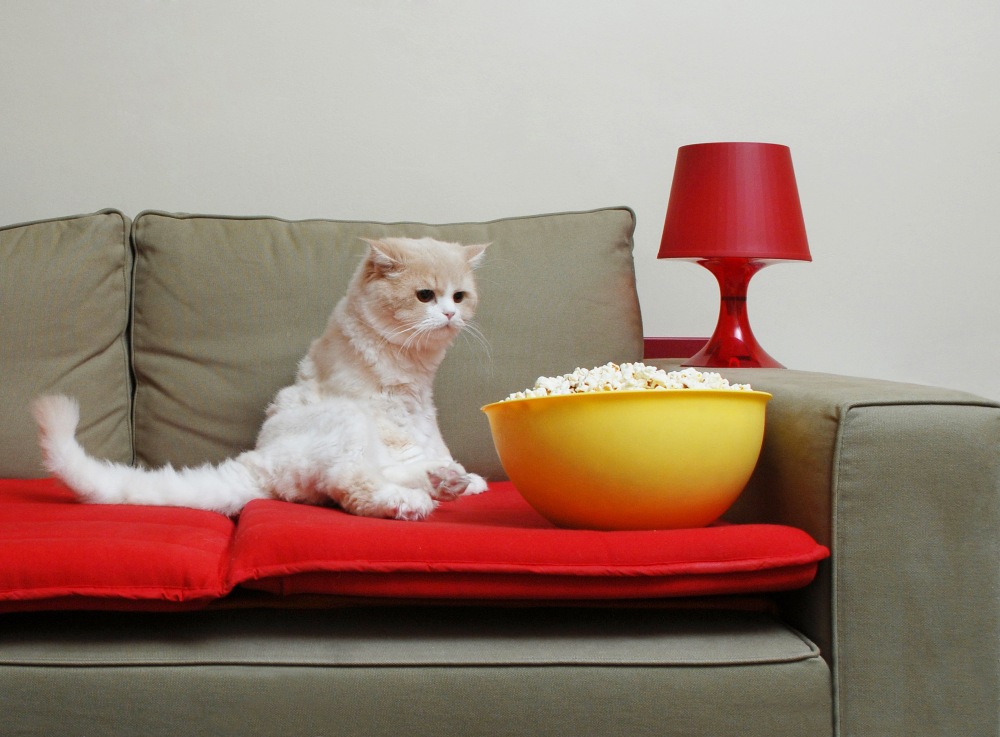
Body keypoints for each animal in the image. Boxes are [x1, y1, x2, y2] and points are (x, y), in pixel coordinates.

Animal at [34, 236, 492, 516]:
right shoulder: (383, 411)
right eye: (425, 296)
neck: (408, 362)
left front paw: (461, 475)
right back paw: (412, 500)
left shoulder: (420, 407)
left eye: (459, 297)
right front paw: (449, 474)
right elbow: (412, 445)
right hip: (348, 423)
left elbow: (433, 440)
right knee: (349, 485)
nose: (449, 315)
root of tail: (257, 461)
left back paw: (445, 482)